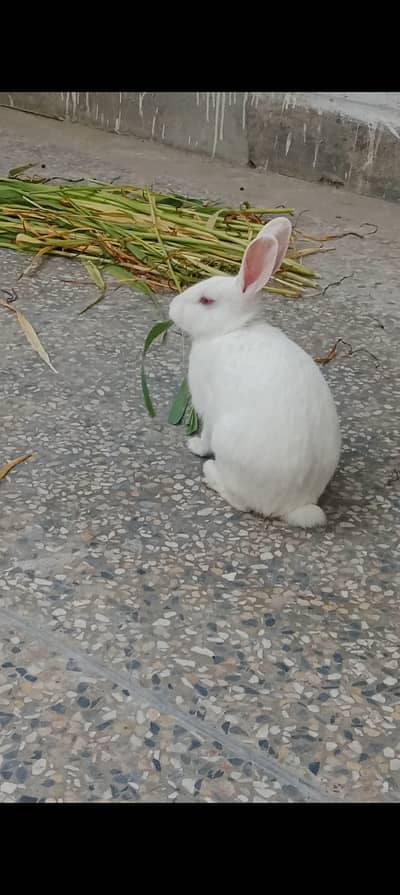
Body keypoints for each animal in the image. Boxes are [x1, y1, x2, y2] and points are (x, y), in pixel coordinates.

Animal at [169, 217, 341, 528]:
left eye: (206, 301)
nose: (171, 308)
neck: (232, 329)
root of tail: (295, 504)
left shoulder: (209, 408)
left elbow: (206, 434)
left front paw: (195, 445)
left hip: (227, 438)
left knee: (241, 501)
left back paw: (211, 473)